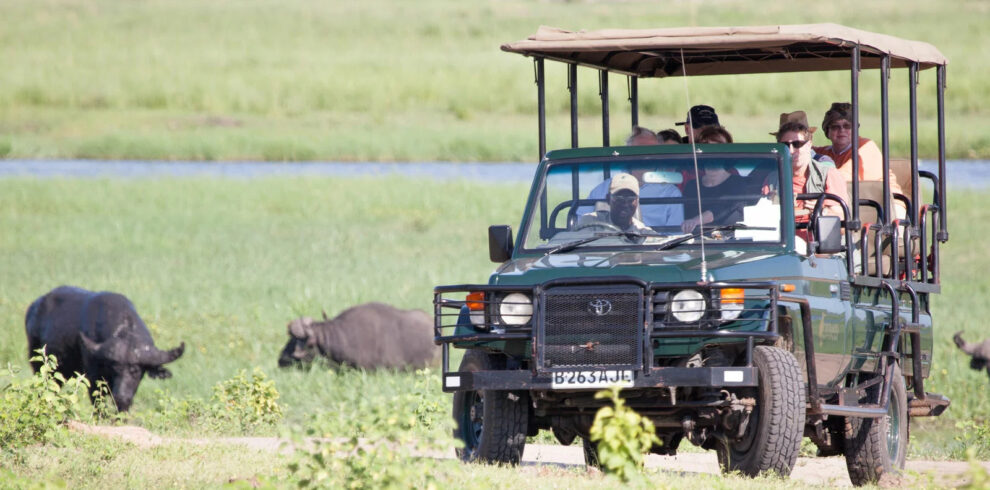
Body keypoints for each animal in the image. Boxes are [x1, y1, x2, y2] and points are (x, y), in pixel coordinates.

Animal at [25, 286, 186, 412]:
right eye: (114, 368)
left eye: (135, 371)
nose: (121, 397)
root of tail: (34, 308)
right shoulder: (93, 378)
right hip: (39, 364)